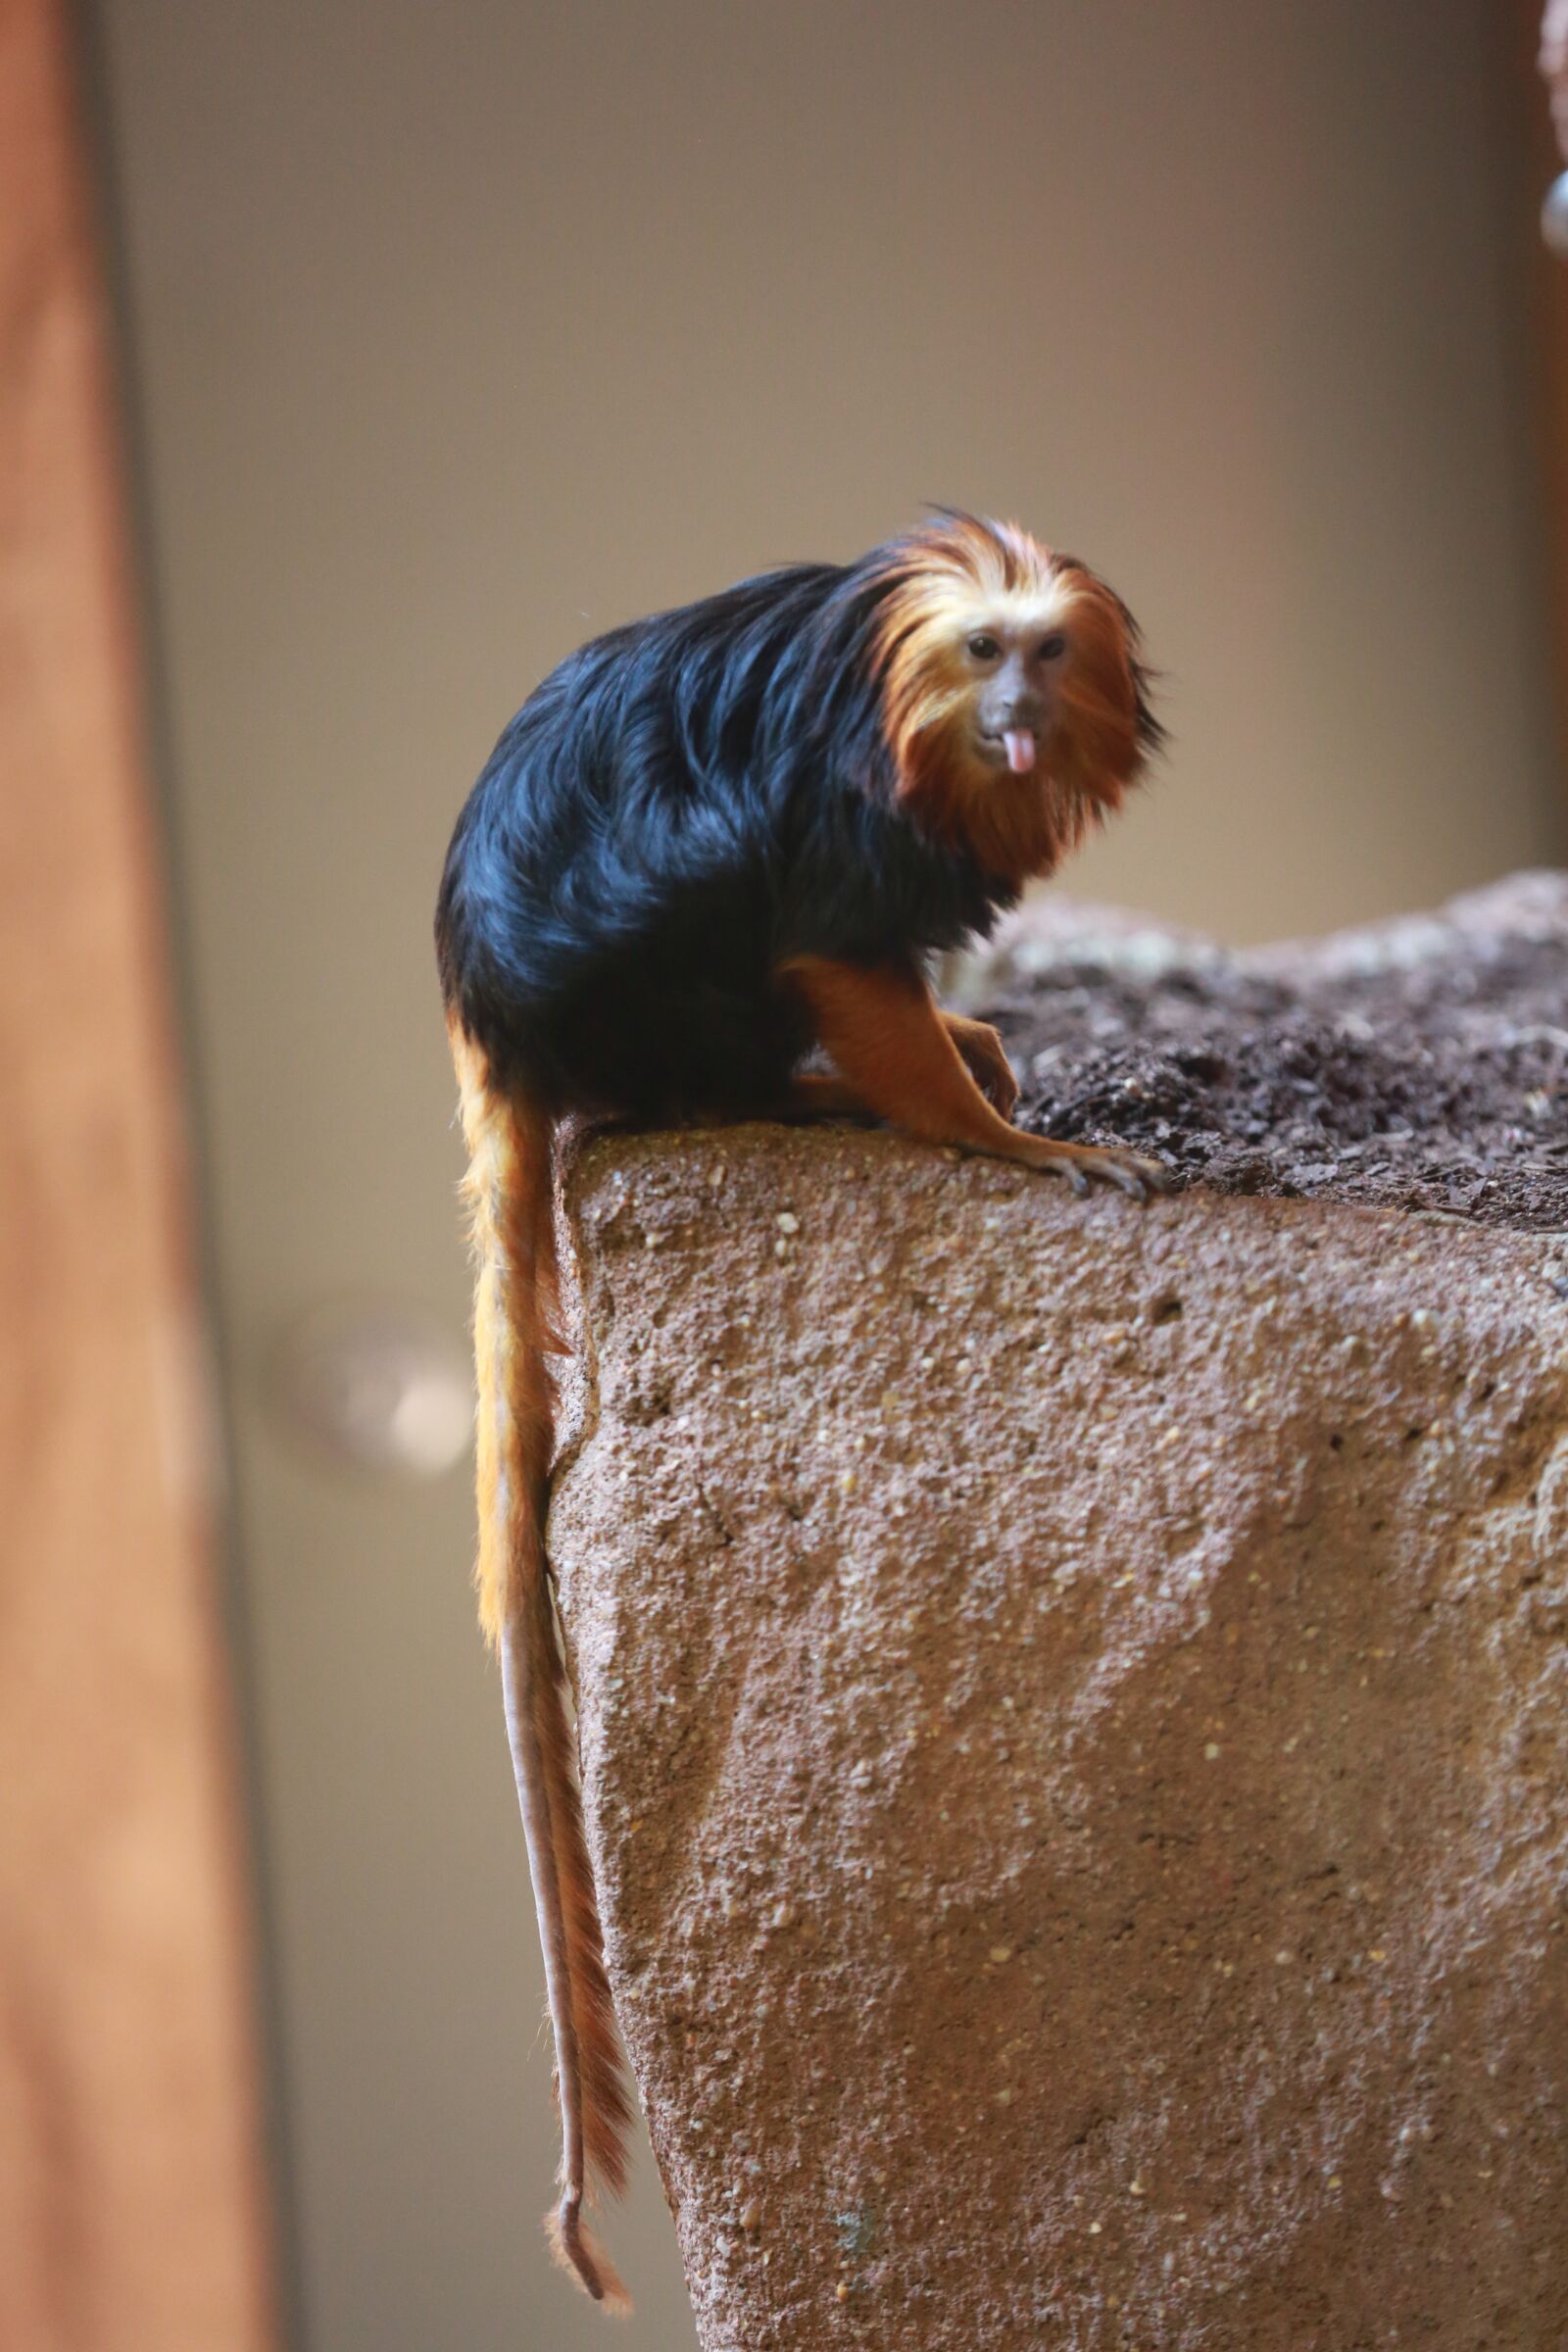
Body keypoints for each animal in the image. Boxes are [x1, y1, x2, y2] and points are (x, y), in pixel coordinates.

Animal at [435, 511, 1166, 2310]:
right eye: (983, 655)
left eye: (1048, 651)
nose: (1021, 717)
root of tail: (495, 1014)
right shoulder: (847, 833)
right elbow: (829, 946)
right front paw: (1009, 1141)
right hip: (647, 961)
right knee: (705, 984)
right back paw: (805, 1095)